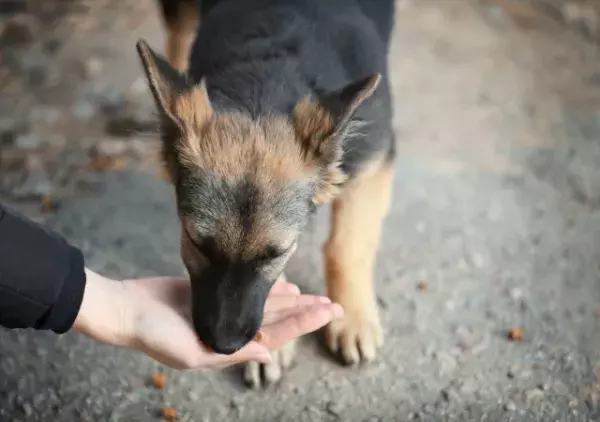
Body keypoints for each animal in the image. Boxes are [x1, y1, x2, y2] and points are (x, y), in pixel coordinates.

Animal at [138, 0, 396, 388]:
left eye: (276, 253)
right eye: (196, 244)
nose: (224, 346)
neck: (268, 78)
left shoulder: (373, 162)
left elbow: (347, 246)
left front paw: (352, 318)